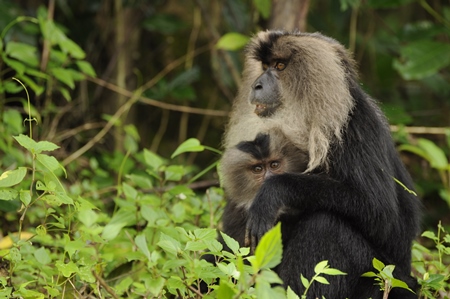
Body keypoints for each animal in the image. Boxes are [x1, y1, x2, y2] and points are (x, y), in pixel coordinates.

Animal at [218, 31, 422, 299]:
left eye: (279, 66)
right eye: (264, 66)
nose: (257, 85)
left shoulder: (354, 126)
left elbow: (379, 212)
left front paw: (274, 191)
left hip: (380, 277)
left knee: (324, 224)